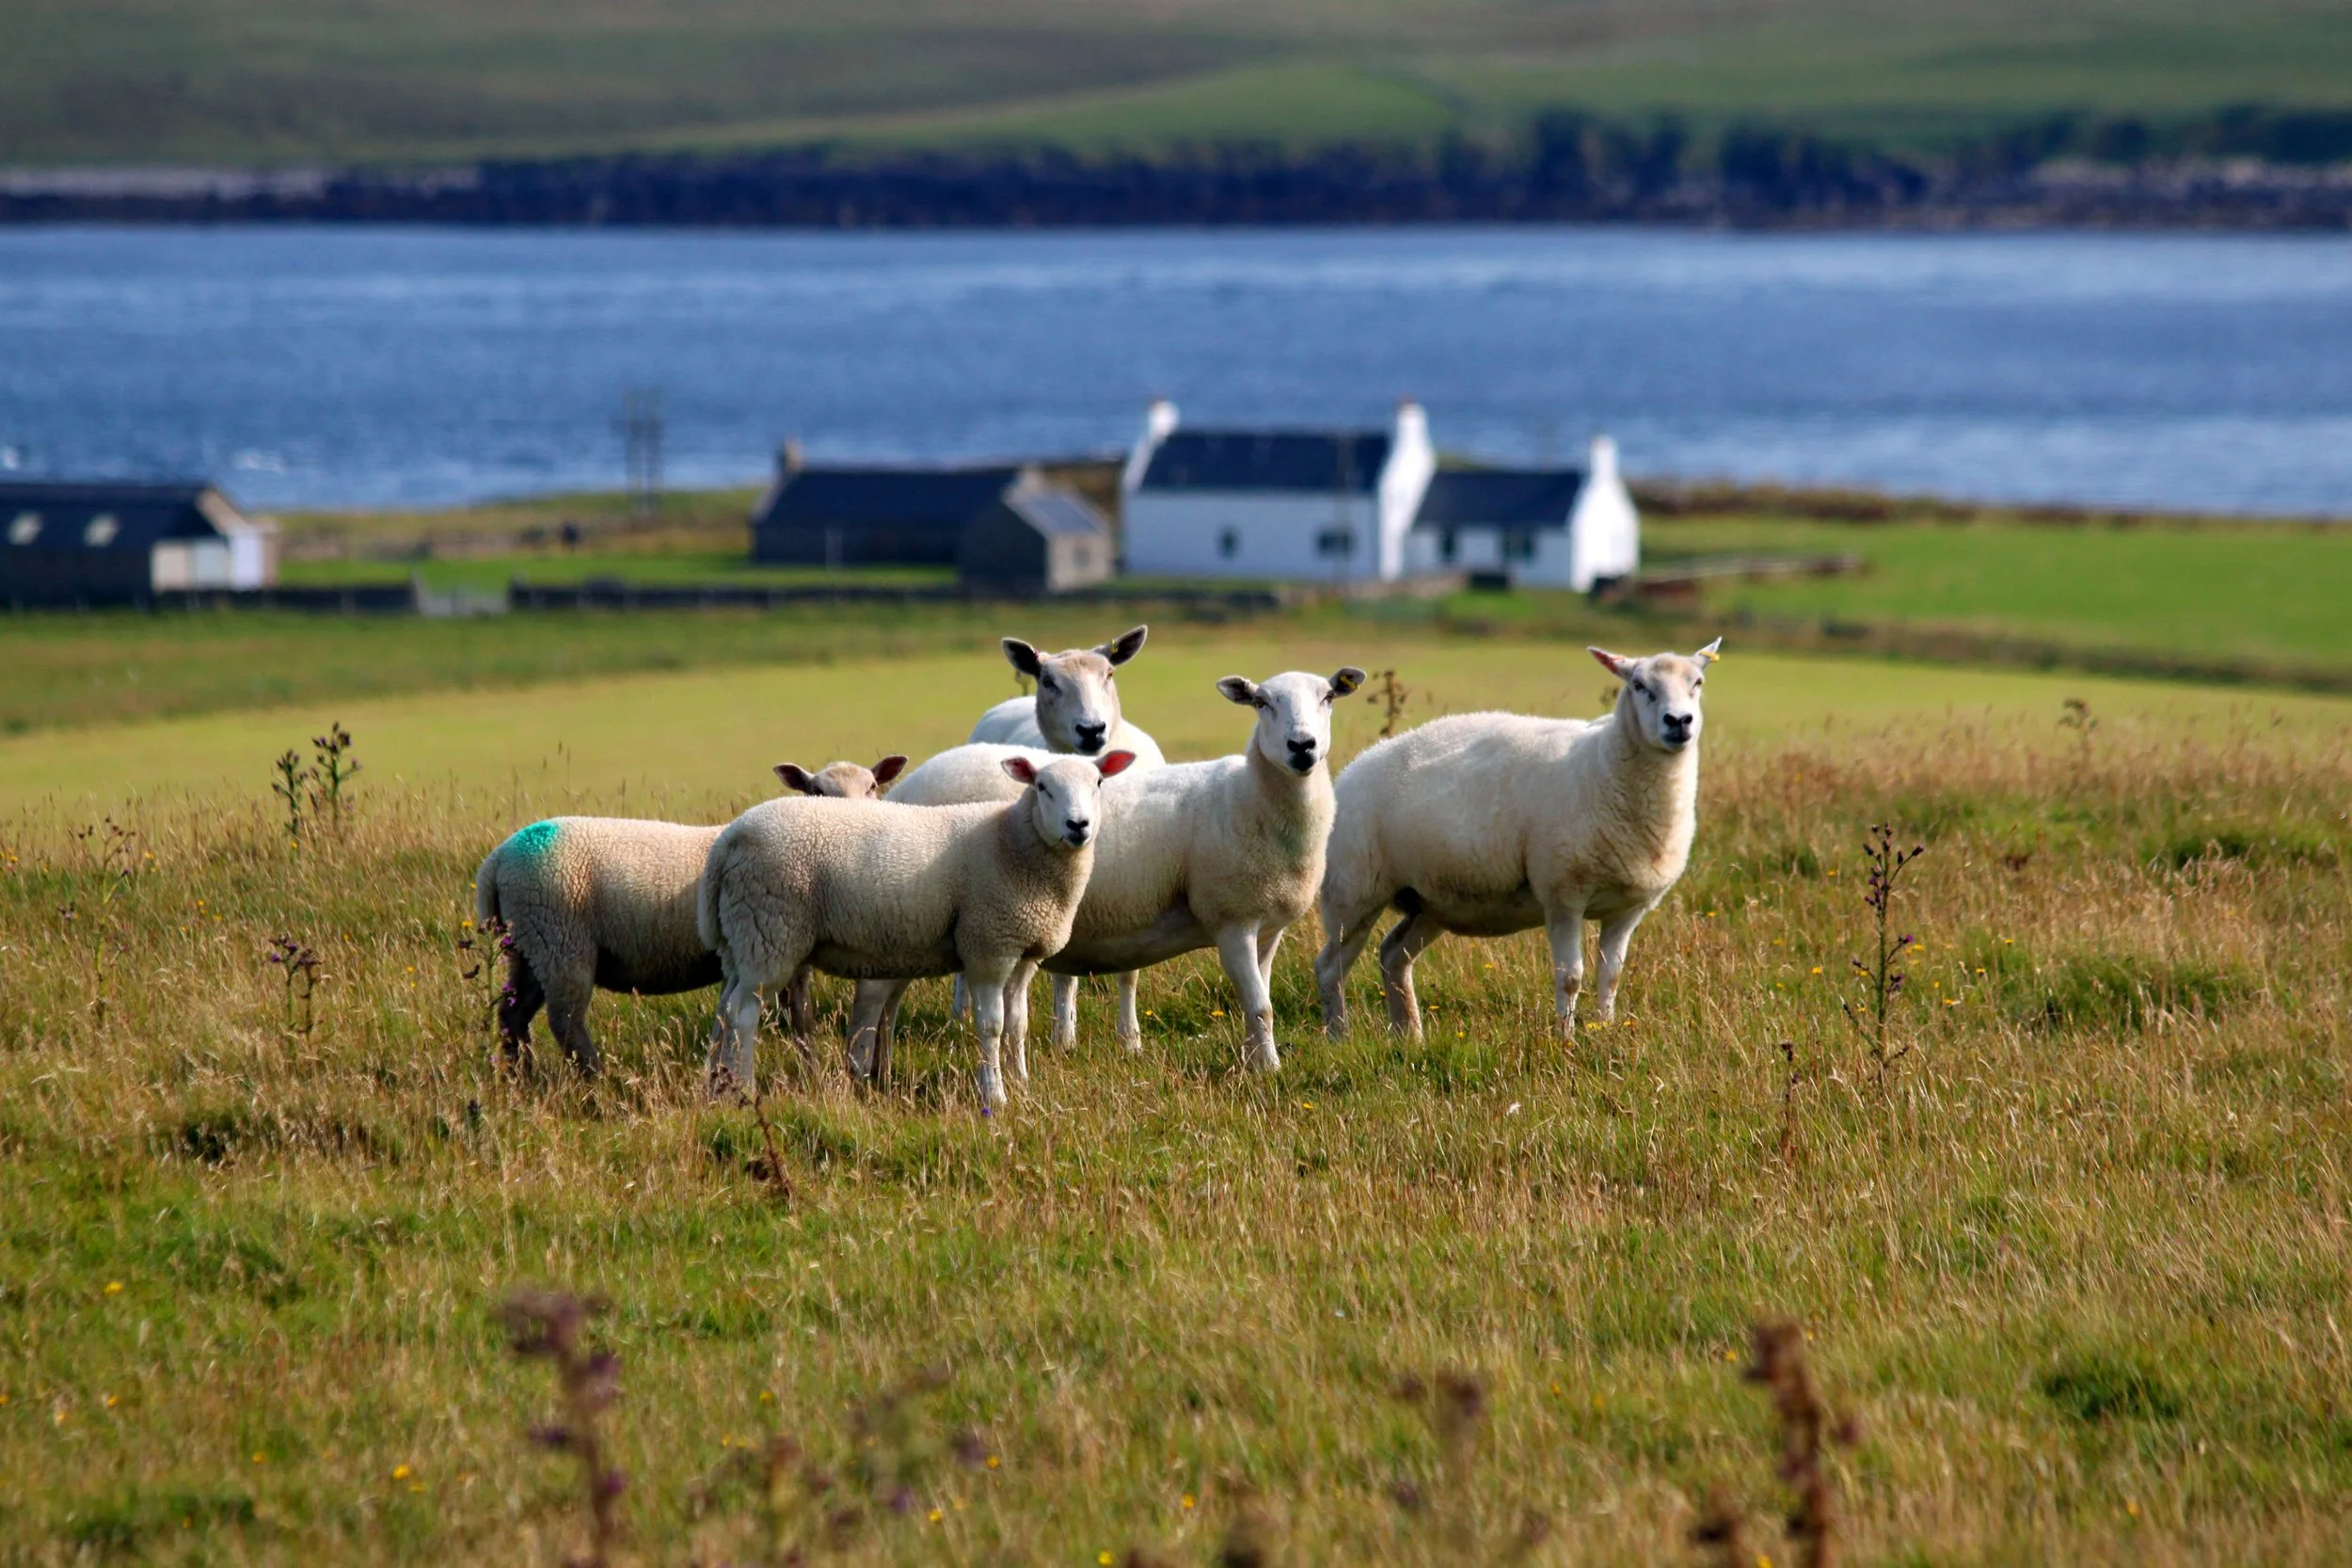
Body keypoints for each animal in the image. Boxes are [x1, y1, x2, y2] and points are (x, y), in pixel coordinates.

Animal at [473, 755, 904, 1075]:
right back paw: (597, 1084)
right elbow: (795, 1017)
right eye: (816, 791)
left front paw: (809, 1069)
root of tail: (497, 861)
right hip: (560, 939)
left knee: (513, 1016)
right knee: (566, 1022)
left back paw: (522, 1079)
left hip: (528, 946)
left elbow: (799, 1017)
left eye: (872, 786)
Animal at [700, 751, 1134, 1106]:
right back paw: (744, 1088)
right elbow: (991, 1026)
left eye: (1099, 783)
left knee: (725, 1009)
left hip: (743, 938)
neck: (1011, 841)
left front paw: (1022, 1083)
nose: (1078, 825)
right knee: (743, 1013)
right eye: (1042, 787)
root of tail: (730, 839)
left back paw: (717, 1087)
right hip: (771, 934)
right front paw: (995, 1096)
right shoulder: (987, 947)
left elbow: (1018, 1024)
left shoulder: (1023, 953)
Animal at [849, 668, 1367, 1083]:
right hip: (898, 912)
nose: (1302, 747)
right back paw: (860, 1072)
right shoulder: (1231, 919)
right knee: (873, 997)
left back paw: (881, 1070)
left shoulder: (1268, 928)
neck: (1250, 798)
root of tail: (909, 785)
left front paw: (1252, 1060)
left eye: (1328, 697)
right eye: (1262, 702)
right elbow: (1260, 1004)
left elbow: (1256, 1001)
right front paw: (1272, 1070)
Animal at [1314, 640, 1722, 1040]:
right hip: (1353, 891)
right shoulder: (1563, 895)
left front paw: (1606, 1032)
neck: (1604, 764)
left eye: (1698, 682)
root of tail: (1353, 770)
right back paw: (1340, 1035)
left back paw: (1408, 1036)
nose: (1679, 722)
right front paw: (1566, 1041)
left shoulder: (1627, 908)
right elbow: (1570, 977)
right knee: (1330, 967)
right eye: (1639, 685)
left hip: (1429, 901)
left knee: (1393, 955)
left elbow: (1611, 977)